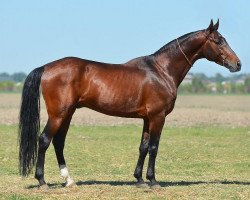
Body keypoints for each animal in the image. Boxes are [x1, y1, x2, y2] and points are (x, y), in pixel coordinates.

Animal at [17, 19, 240, 188]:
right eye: (218, 41)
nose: (237, 64)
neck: (161, 70)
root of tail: (46, 67)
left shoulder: (147, 119)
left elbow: (143, 147)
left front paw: (139, 179)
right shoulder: (158, 117)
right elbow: (154, 147)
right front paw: (153, 181)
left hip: (68, 113)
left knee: (58, 142)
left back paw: (69, 180)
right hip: (58, 114)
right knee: (44, 140)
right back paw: (42, 182)